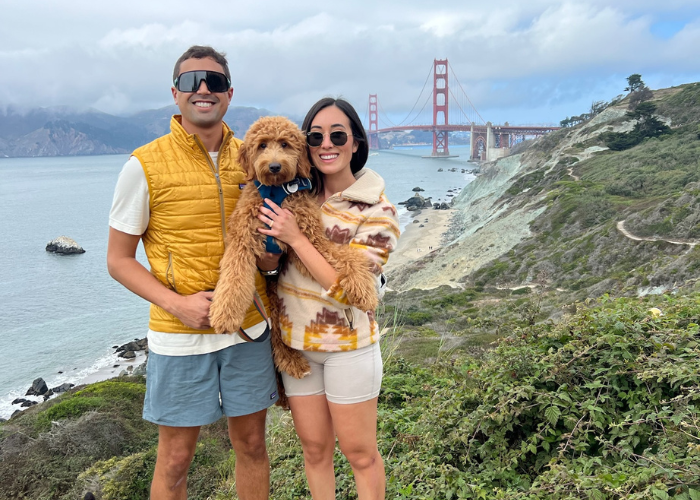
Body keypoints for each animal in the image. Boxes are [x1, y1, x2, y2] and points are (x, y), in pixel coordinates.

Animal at [211, 116, 380, 382]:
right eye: (262, 145)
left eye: (284, 144)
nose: (274, 166)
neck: (276, 191)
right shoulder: (242, 240)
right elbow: (233, 279)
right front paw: (225, 315)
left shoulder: (309, 239)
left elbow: (346, 256)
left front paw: (363, 289)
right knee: (276, 338)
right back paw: (294, 362)